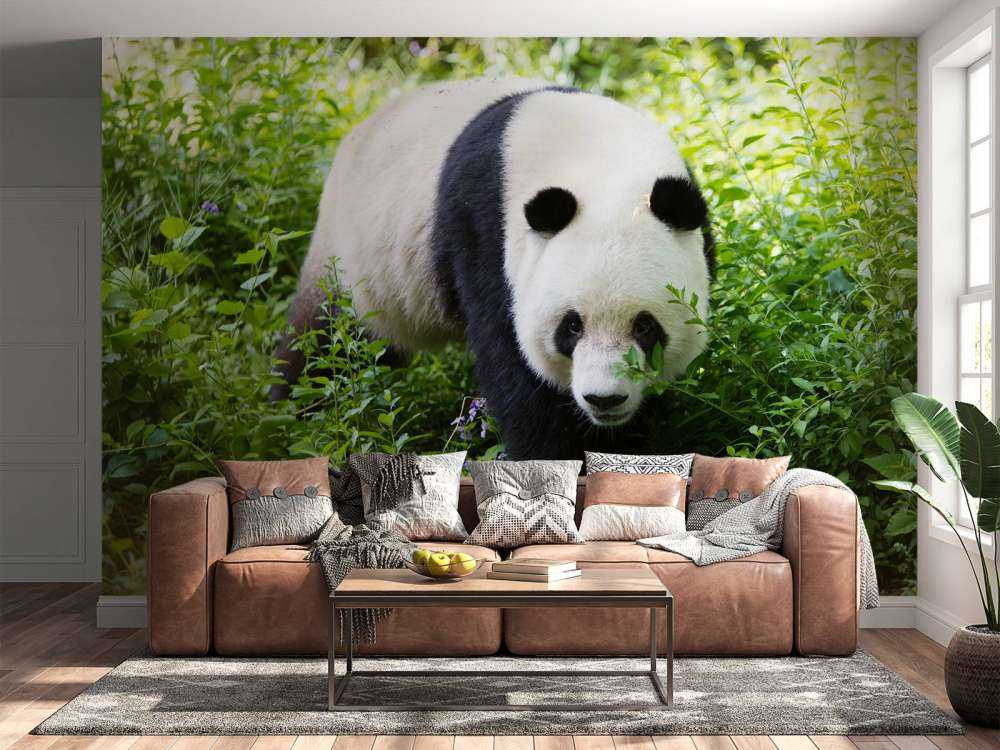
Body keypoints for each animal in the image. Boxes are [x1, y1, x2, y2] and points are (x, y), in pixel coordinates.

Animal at [275, 77, 715, 460]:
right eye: (571, 326)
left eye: (645, 326)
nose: (604, 399)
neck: (600, 157)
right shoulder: (486, 232)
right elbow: (517, 370)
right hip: (352, 261)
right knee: (323, 346)